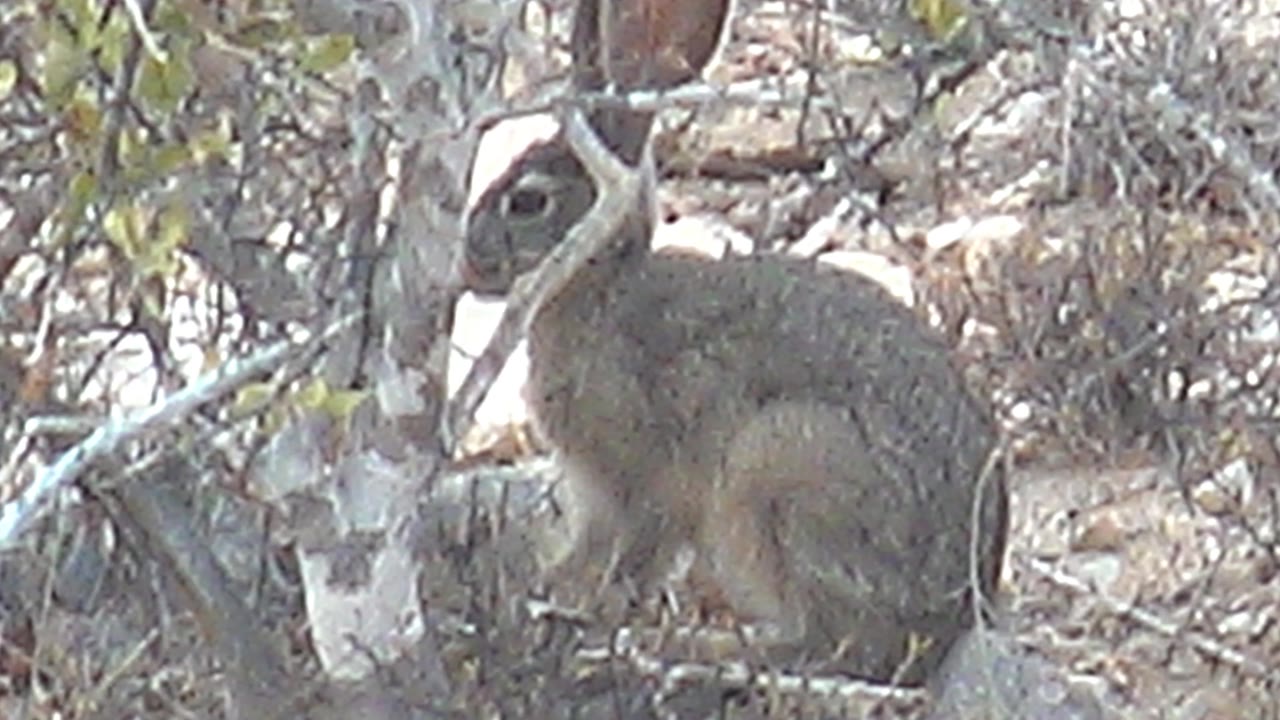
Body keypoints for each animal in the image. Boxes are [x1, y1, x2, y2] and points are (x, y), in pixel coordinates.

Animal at [460, 0, 1008, 685]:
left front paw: (587, 612)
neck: (603, 284)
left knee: (838, 646)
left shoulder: (643, 479)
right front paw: (552, 594)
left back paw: (715, 651)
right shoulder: (599, 493)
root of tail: (947, 622)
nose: (469, 262)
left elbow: (634, 555)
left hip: (784, 469)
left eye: (528, 200)